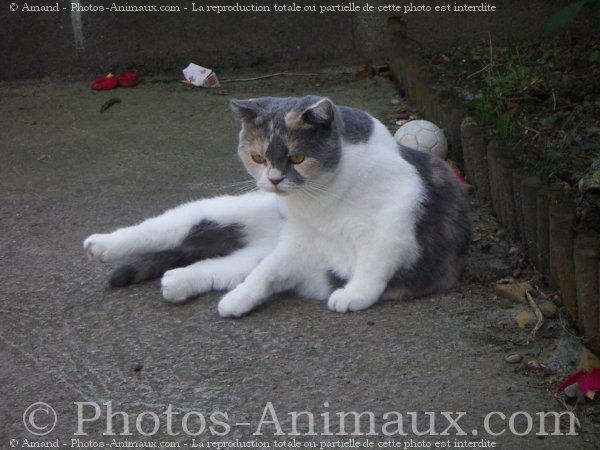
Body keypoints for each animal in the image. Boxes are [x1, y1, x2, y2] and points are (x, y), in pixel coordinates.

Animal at [84, 95, 472, 316]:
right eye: (257, 157)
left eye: (298, 157)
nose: (273, 180)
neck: (323, 200)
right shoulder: (298, 241)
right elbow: (266, 273)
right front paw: (242, 299)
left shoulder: (393, 224)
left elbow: (374, 262)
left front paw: (354, 294)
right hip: (223, 211)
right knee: (164, 228)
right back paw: (101, 245)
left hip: (254, 250)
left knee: (223, 266)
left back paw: (178, 281)